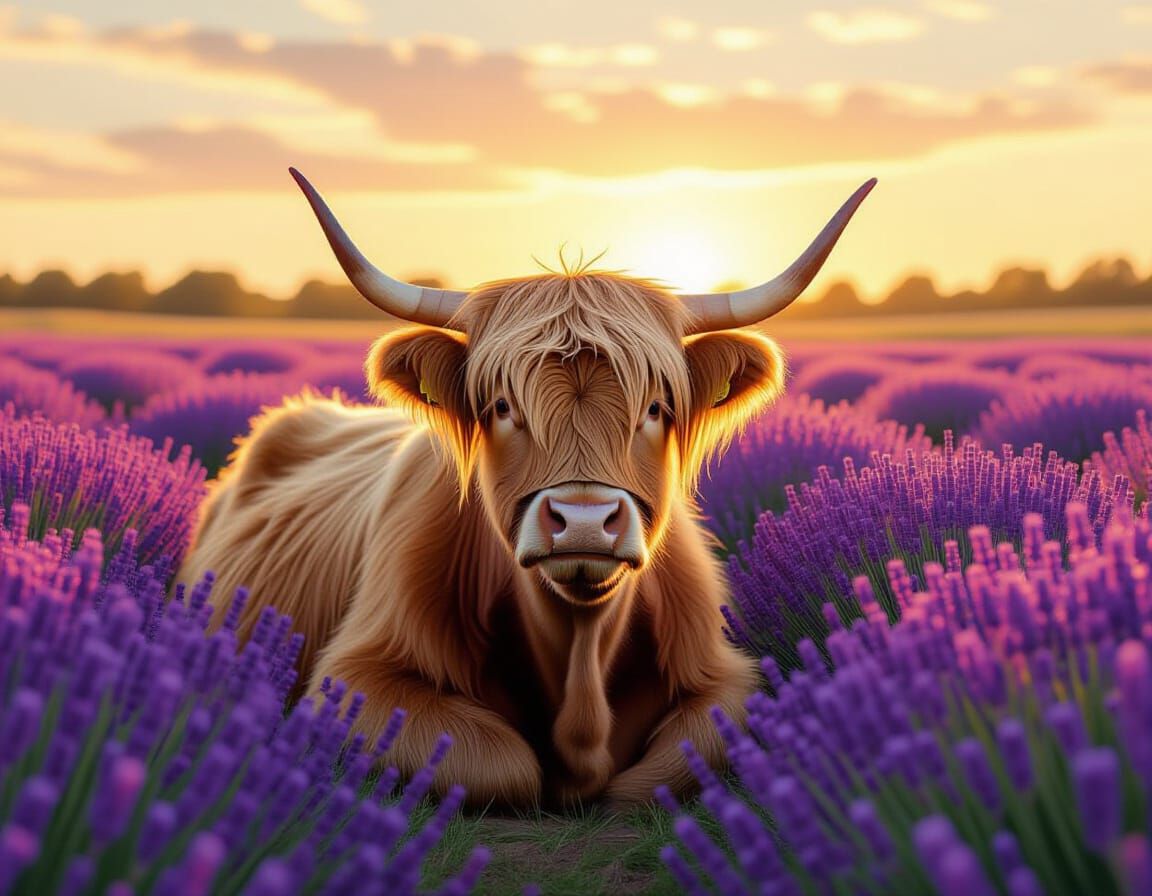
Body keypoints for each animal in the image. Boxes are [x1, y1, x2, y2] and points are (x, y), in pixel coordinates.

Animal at [177, 168, 875, 809]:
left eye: (655, 408)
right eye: (502, 406)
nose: (585, 521)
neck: (579, 656)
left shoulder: (724, 676)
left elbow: (660, 773)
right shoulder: (356, 676)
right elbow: (502, 764)